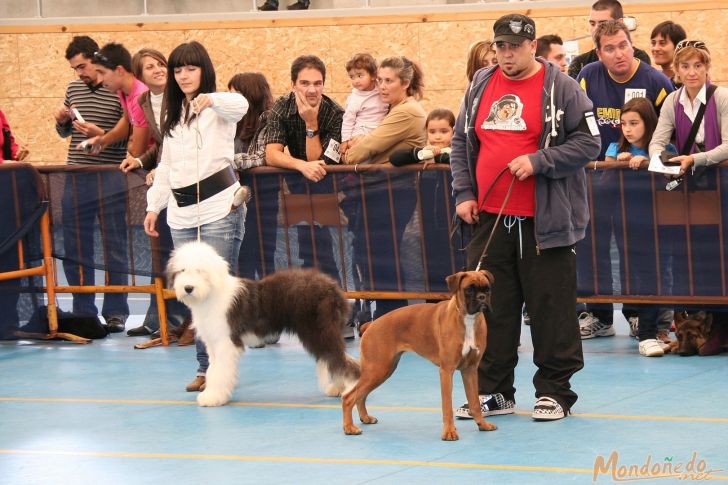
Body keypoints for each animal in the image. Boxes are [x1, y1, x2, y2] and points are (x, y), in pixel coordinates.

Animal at [344, 270, 498, 440]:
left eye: (487, 289)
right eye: (469, 289)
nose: (482, 297)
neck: (467, 319)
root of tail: (370, 325)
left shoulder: (469, 370)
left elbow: (475, 402)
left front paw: (482, 424)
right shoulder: (447, 371)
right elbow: (447, 406)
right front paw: (449, 431)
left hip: (381, 371)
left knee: (360, 395)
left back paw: (365, 418)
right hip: (377, 370)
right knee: (349, 397)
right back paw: (349, 428)